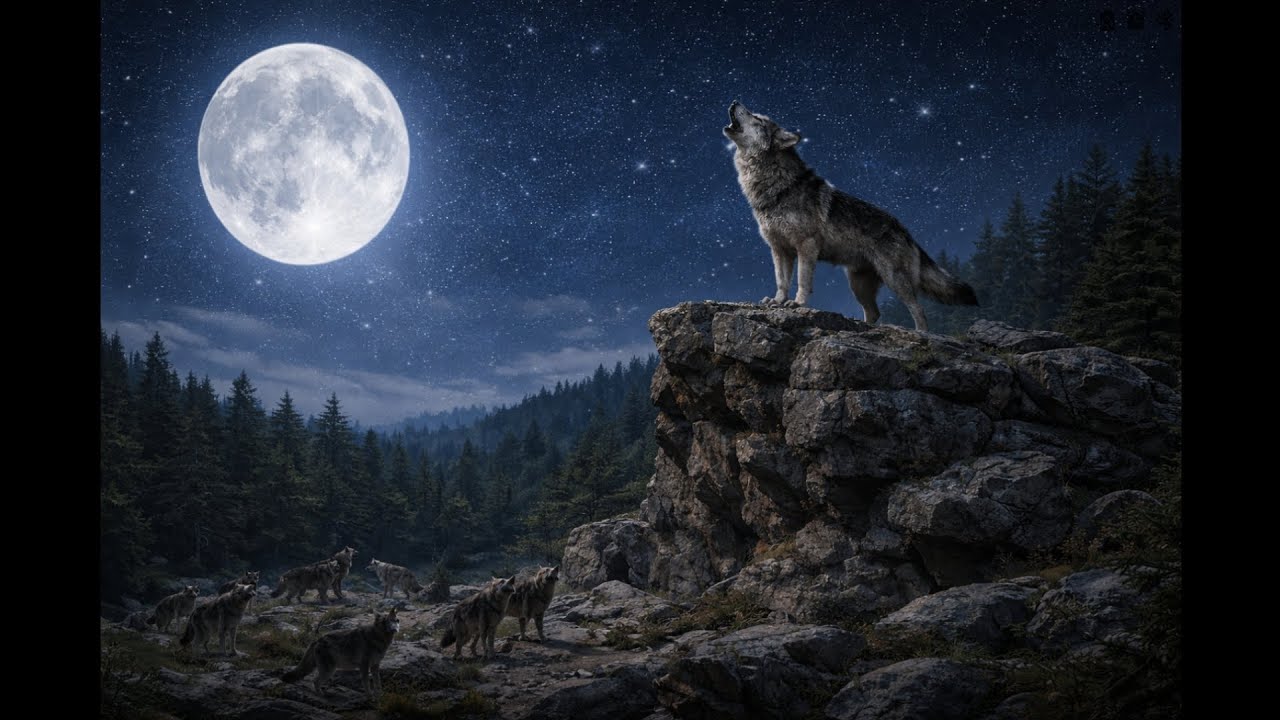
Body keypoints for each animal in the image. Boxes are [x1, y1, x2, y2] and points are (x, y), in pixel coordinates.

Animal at [723, 101, 978, 332]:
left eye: (756, 117)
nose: (735, 102)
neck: (777, 187)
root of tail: (905, 230)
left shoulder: (806, 246)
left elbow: (803, 281)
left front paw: (797, 303)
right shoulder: (779, 249)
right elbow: (781, 281)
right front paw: (777, 301)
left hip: (894, 280)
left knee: (918, 309)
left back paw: (921, 333)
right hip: (858, 286)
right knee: (874, 313)